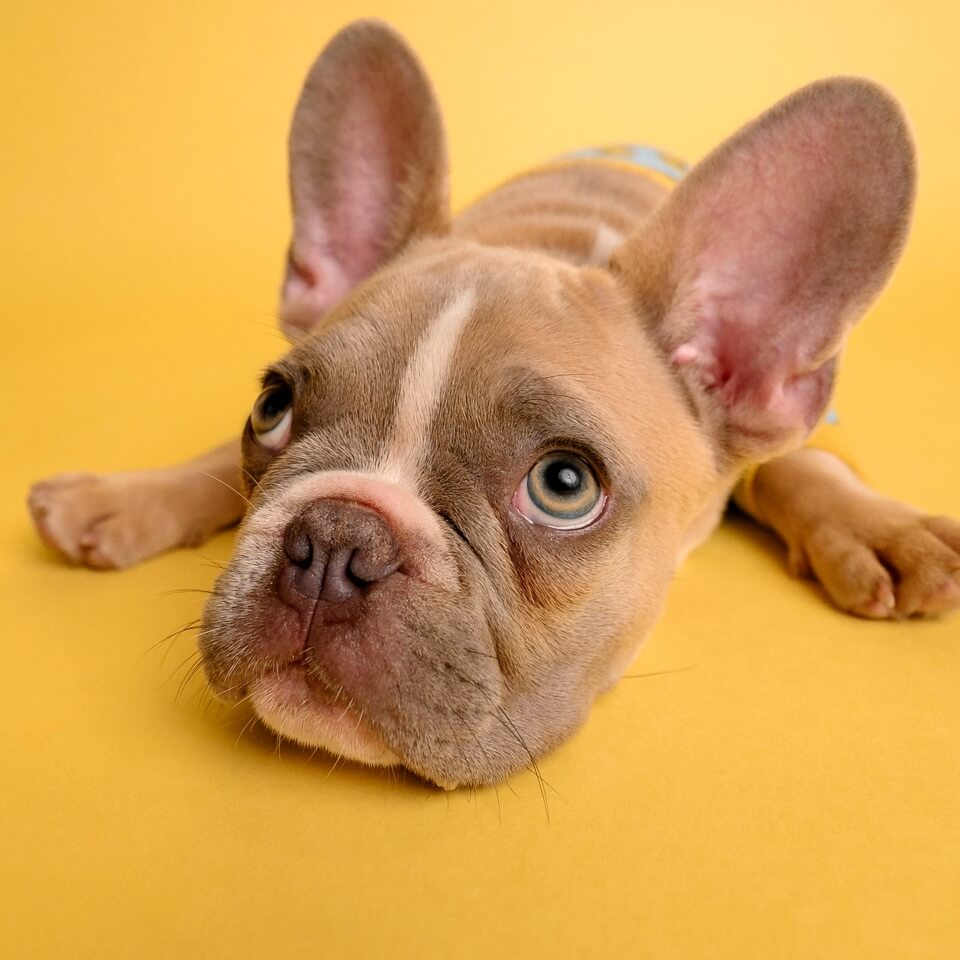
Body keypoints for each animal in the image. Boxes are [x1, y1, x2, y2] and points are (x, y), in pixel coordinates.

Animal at [28, 20, 960, 788]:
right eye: (271, 407)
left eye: (564, 486)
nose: (333, 540)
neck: (554, 241)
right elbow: (214, 461)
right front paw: (122, 498)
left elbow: (800, 467)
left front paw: (876, 529)